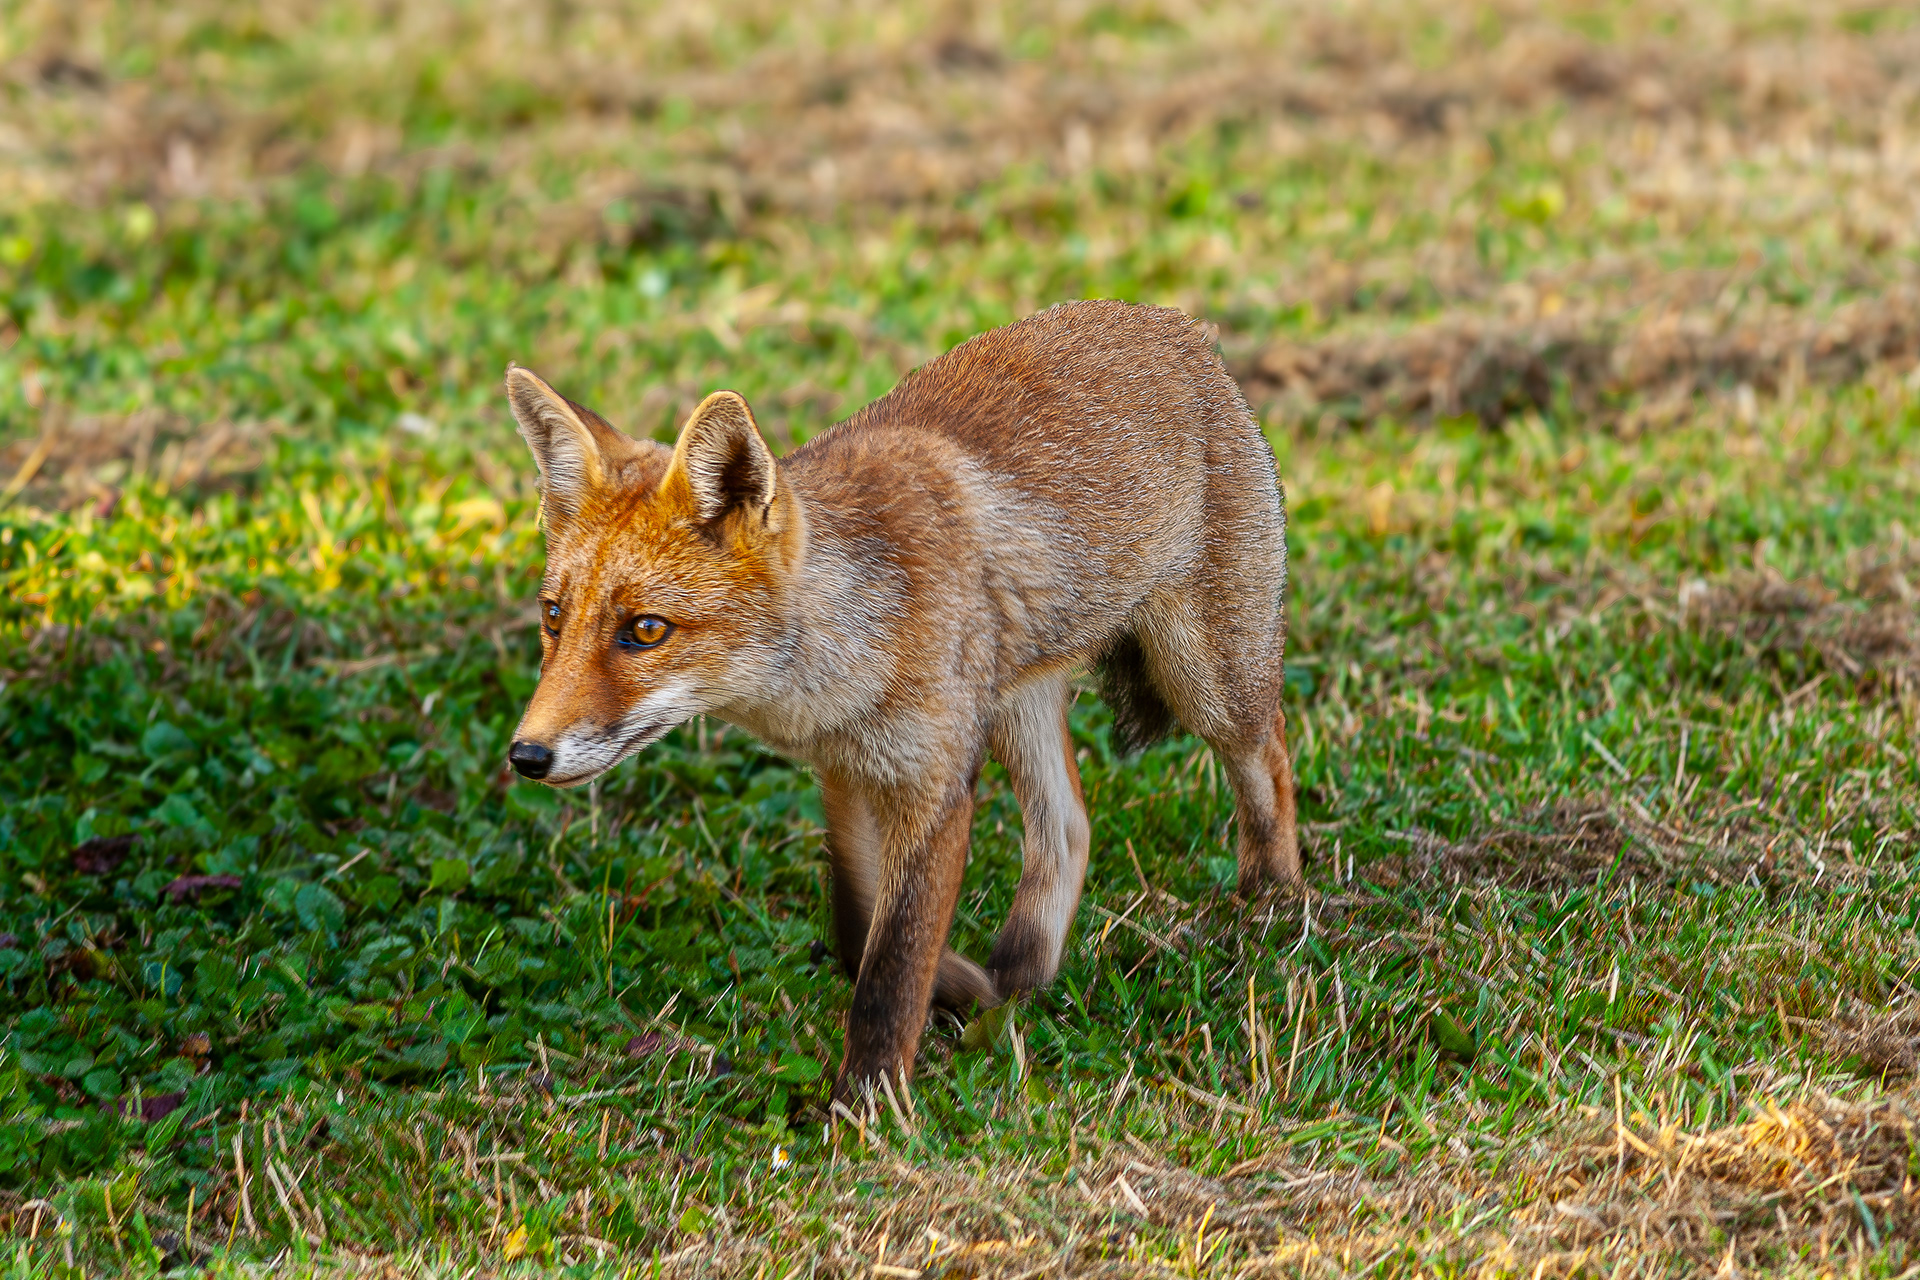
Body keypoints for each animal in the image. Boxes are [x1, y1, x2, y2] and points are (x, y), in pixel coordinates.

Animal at [503, 299, 1299, 1103]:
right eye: (553, 618)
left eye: (645, 630)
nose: (527, 755)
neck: (847, 654)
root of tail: (1172, 323)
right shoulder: (847, 775)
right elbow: (857, 935)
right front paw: (954, 986)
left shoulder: (936, 788)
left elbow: (892, 966)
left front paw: (868, 1101)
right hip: (1015, 706)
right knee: (1069, 829)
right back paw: (1013, 982)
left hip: (1205, 682)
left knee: (1268, 755)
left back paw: (1272, 909)